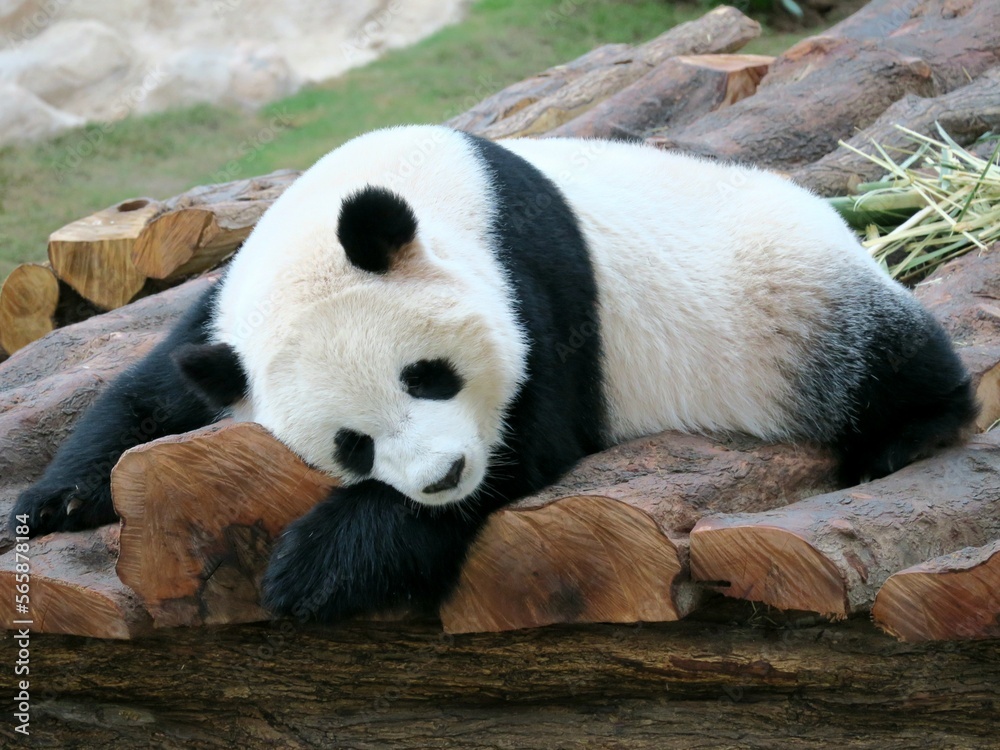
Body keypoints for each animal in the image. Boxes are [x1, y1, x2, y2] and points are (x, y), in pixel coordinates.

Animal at [11, 125, 977, 622]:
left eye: (427, 376)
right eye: (351, 444)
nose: (442, 475)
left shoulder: (536, 282)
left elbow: (529, 440)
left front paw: (312, 568)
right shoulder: (225, 309)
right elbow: (154, 389)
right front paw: (50, 503)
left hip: (781, 299)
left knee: (878, 357)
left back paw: (904, 435)